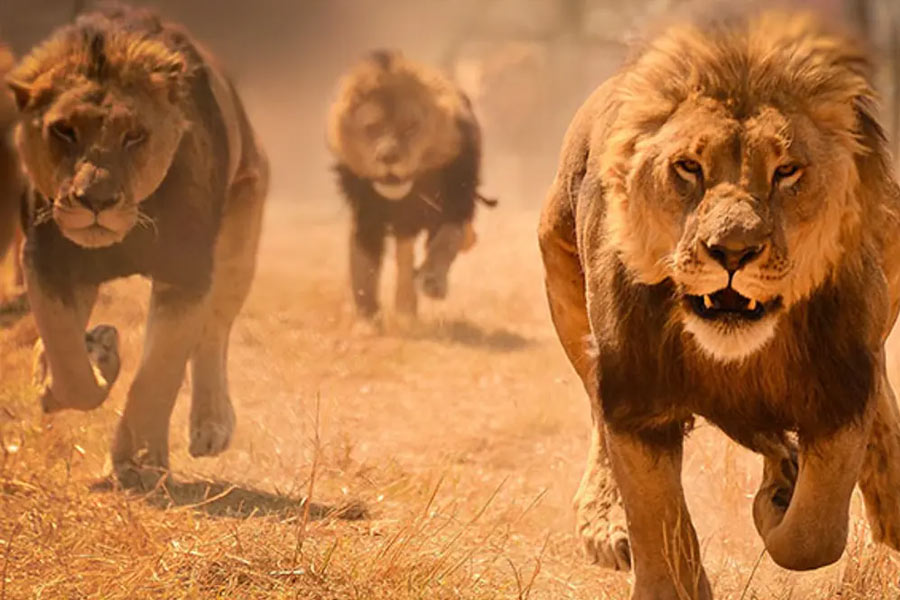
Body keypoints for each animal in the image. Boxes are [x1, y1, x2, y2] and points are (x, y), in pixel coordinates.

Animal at [7, 5, 268, 489]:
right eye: (64, 131)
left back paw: (211, 425)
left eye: (134, 136)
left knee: (214, 334)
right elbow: (67, 360)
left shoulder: (186, 274)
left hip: (240, 236)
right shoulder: (45, 261)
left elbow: (158, 373)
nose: (96, 201)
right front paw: (96, 357)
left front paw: (138, 465)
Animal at [327, 49, 494, 323]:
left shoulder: (455, 204)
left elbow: (446, 241)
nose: (388, 157)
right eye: (372, 128)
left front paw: (433, 280)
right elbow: (363, 268)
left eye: (410, 127)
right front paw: (367, 318)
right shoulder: (367, 217)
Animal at [539, 10, 900, 599]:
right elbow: (661, 534)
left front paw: (778, 504)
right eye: (688, 167)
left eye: (787, 171)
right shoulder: (635, 400)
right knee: (596, 413)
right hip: (563, 285)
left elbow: (812, 535)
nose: (732, 251)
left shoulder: (842, 387)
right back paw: (607, 524)